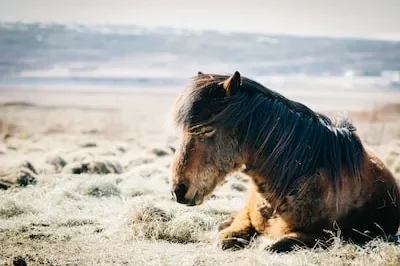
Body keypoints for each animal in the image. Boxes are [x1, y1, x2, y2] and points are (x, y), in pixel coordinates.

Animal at [169, 71, 400, 254]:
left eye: (207, 129)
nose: (178, 190)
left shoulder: (330, 235)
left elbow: (276, 244)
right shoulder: (247, 216)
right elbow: (227, 236)